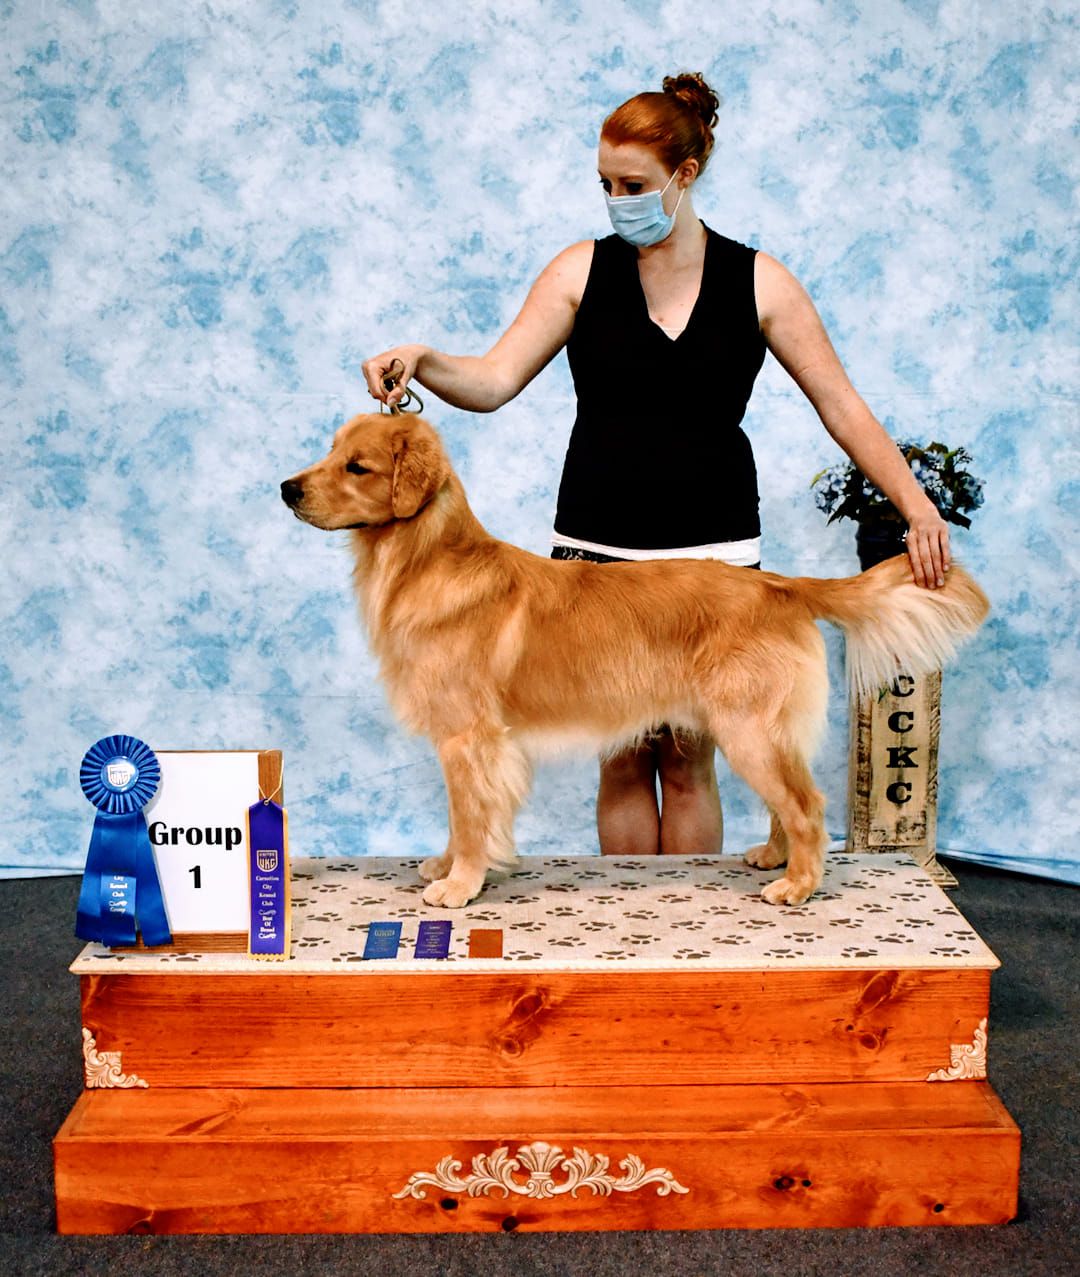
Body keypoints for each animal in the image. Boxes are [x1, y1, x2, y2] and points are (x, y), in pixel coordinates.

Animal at [281, 412, 989, 909]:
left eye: (358, 466)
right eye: (330, 451)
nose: (286, 488)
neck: (425, 559)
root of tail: (779, 584)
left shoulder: (469, 736)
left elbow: (471, 813)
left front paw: (460, 884)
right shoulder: (468, 741)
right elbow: (465, 814)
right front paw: (447, 863)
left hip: (748, 728)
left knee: (807, 803)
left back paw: (799, 886)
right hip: (761, 728)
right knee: (787, 801)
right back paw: (773, 858)